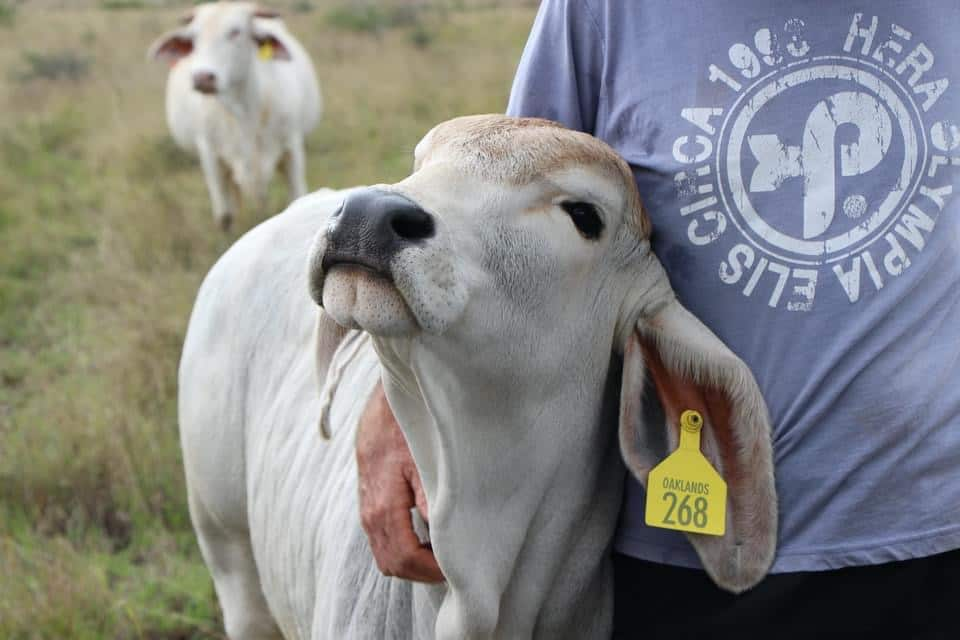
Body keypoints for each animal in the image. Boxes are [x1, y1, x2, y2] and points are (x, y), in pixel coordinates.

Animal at [146, 0, 318, 228]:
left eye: (235, 32)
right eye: (193, 38)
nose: (203, 77)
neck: (244, 111)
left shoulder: (292, 147)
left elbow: (296, 199)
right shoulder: (210, 154)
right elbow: (225, 216)